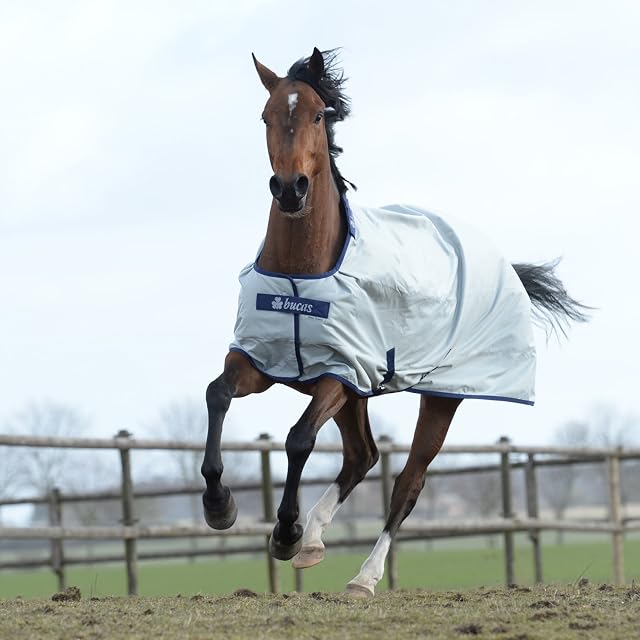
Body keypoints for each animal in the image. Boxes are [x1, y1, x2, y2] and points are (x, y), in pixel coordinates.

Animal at [200, 48, 589, 597]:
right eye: (266, 116)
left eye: (317, 115)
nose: (291, 189)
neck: (303, 273)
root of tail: (504, 264)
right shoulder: (263, 360)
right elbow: (217, 394)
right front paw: (220, 506)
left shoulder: (339, 375)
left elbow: (299, 439)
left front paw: (286, 532)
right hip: (360, 395)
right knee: (362, 456)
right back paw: (316, 539)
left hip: (440, 397)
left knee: (407, 481)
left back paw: (362, 576)